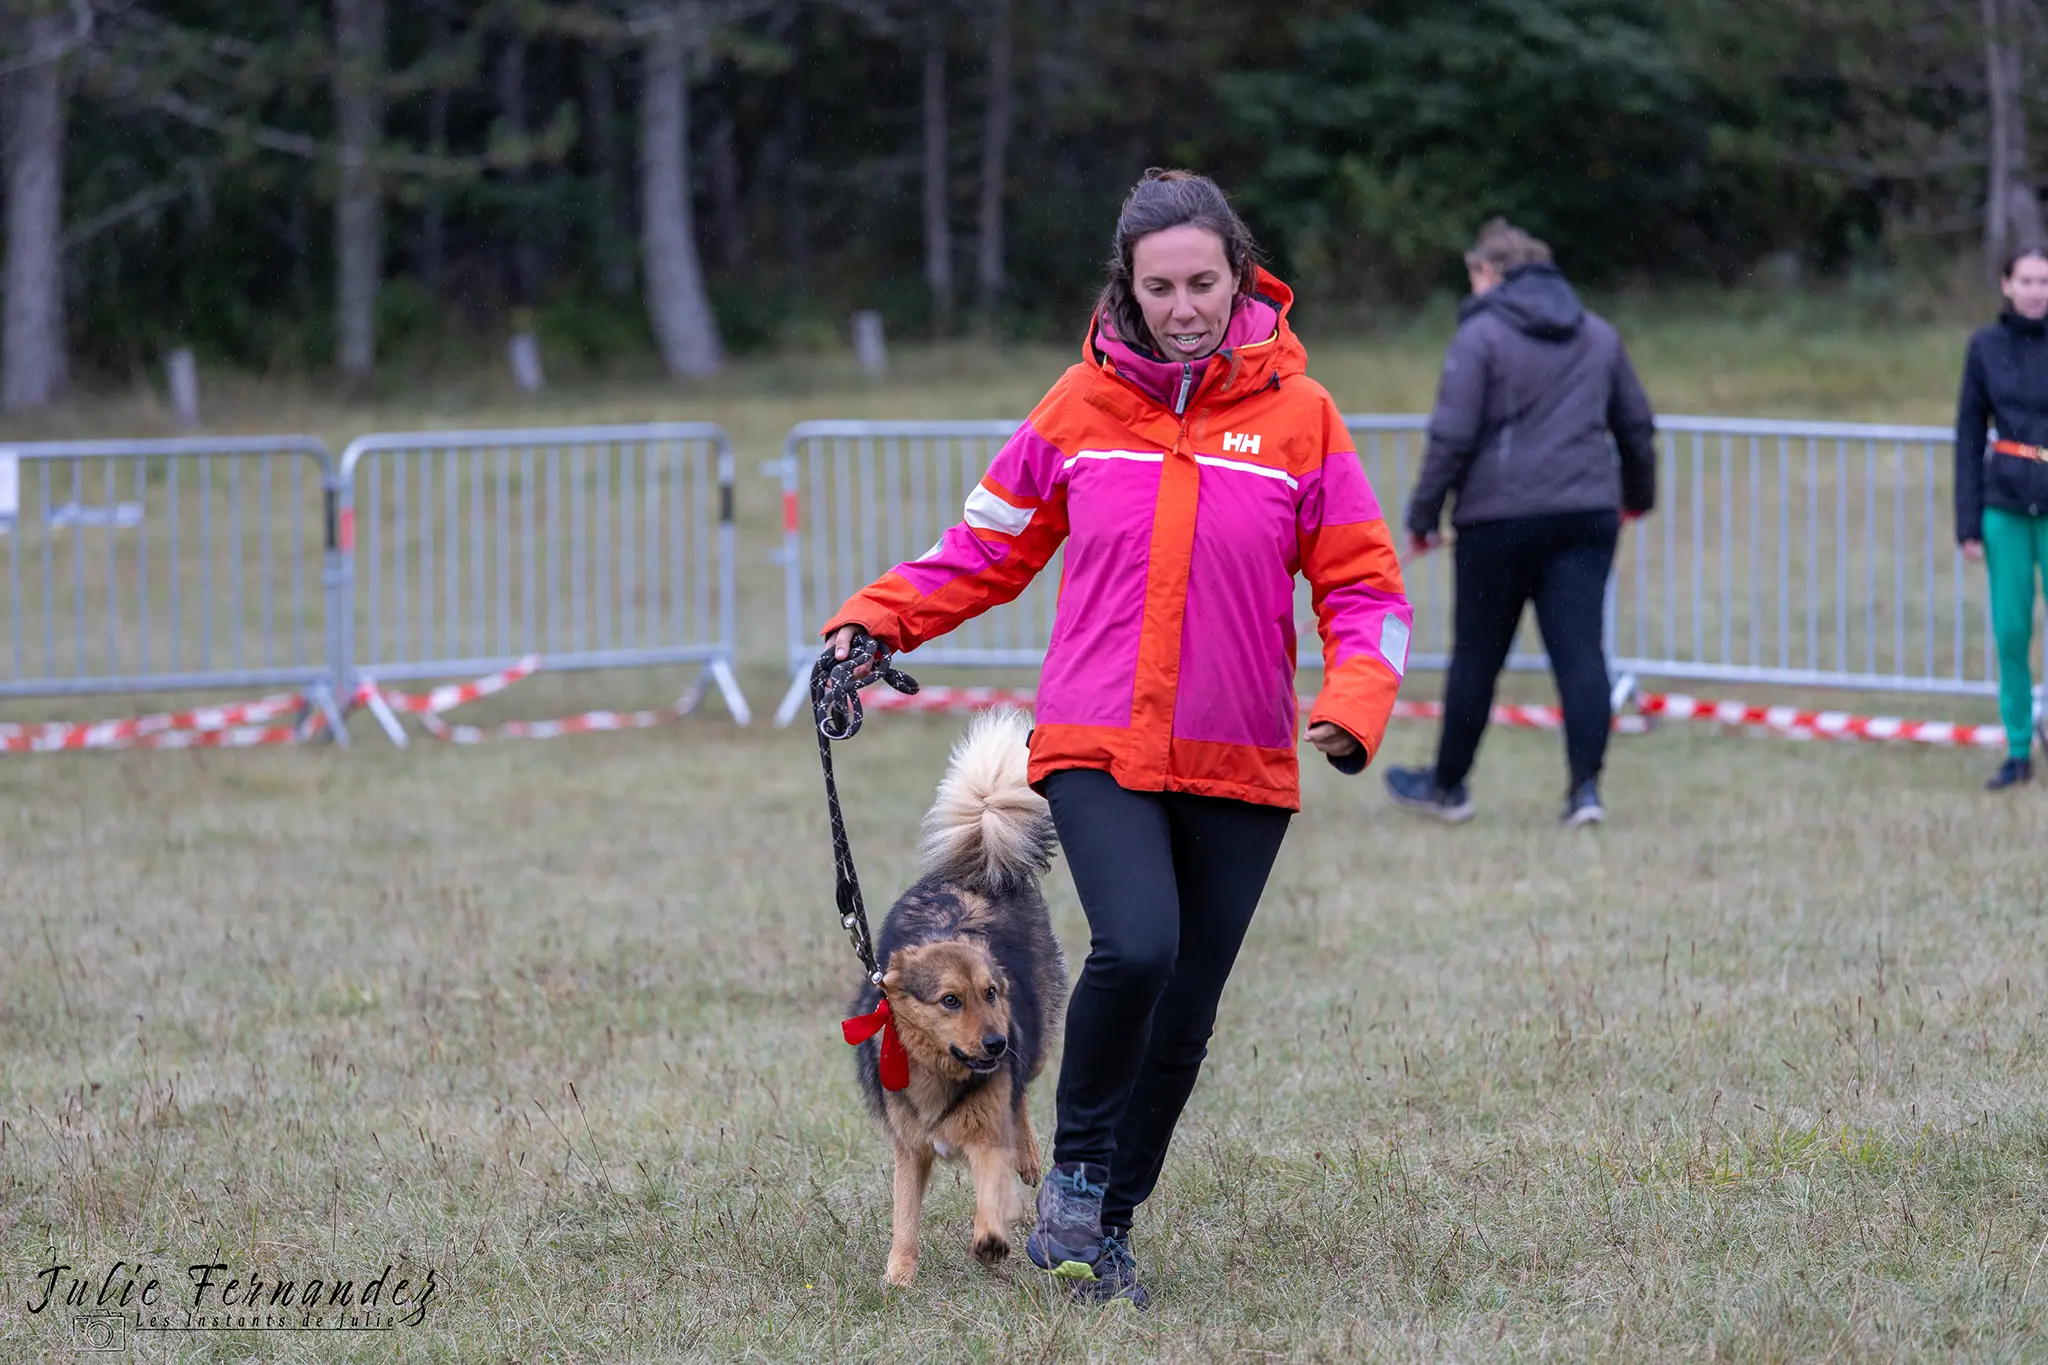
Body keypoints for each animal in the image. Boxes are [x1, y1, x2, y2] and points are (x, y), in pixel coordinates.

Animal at [847, 712, 1073, 1285]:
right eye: (950, 1001)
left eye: (991, 993)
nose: (996, 1045)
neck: (941, 1074)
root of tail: (979, 870)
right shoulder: (910, 1148)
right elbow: (905, 1213)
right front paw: (898, 1278)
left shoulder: (986, 1133)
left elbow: (993, 1181)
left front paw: (990, 1238)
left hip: (1037, 1042)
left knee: (1023, 1095)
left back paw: (1030, 1158)